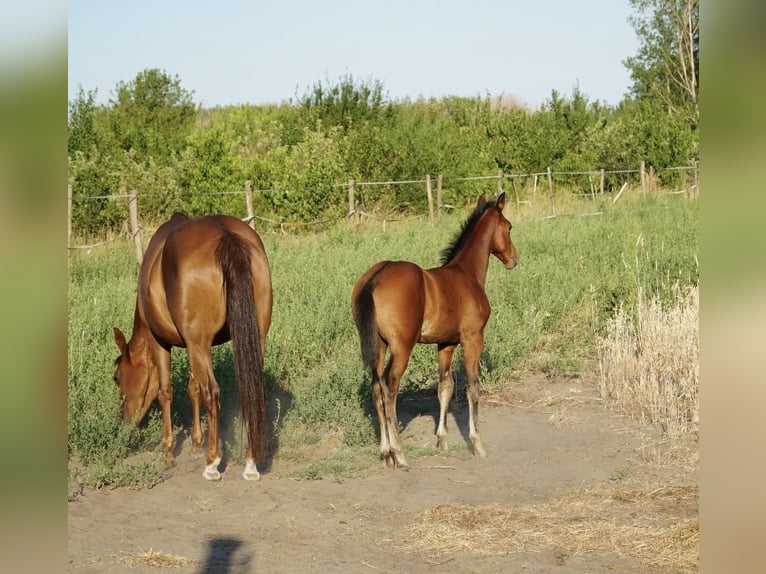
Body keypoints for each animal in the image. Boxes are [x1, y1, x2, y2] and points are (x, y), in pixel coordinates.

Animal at [113, 212, 272, 481]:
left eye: (117, 377)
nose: (124, 421)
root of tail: (226, 236)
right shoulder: (191, 345)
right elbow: (193, 388)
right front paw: (197, 444)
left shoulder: (162, 343)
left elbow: (166, 391)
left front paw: (168, 453)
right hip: (254, 338)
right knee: (249, 389)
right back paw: (250, 462)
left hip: (200, 344)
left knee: (212, 393)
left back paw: (212, 463)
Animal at [351, 193, 519, 469]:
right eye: (509, 227)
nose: (514, 259)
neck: (466, 274)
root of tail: (376, 276)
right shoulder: (472, 339)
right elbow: (472, 386)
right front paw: (477, 444)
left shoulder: (446, 344)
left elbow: (445, 387)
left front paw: (442, 440)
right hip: (402, 347)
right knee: (390, 385)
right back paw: (399, 453)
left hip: (379, 346)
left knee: (376, 387)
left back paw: (386, 454)